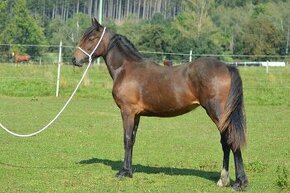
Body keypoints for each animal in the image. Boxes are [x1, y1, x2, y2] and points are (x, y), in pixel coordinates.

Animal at [73, 18, 249, 191]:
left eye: (91, 38)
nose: (74, 59)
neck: (126, 69)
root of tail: (227, 67)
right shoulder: (136, 115)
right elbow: (133, 140)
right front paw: (129, 171)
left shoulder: (127, 112)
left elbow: (127, 139)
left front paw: (123, 172)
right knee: (226, 142)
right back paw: (225, 180)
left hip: (218, 114)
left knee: (230, 140)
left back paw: (239, 182)